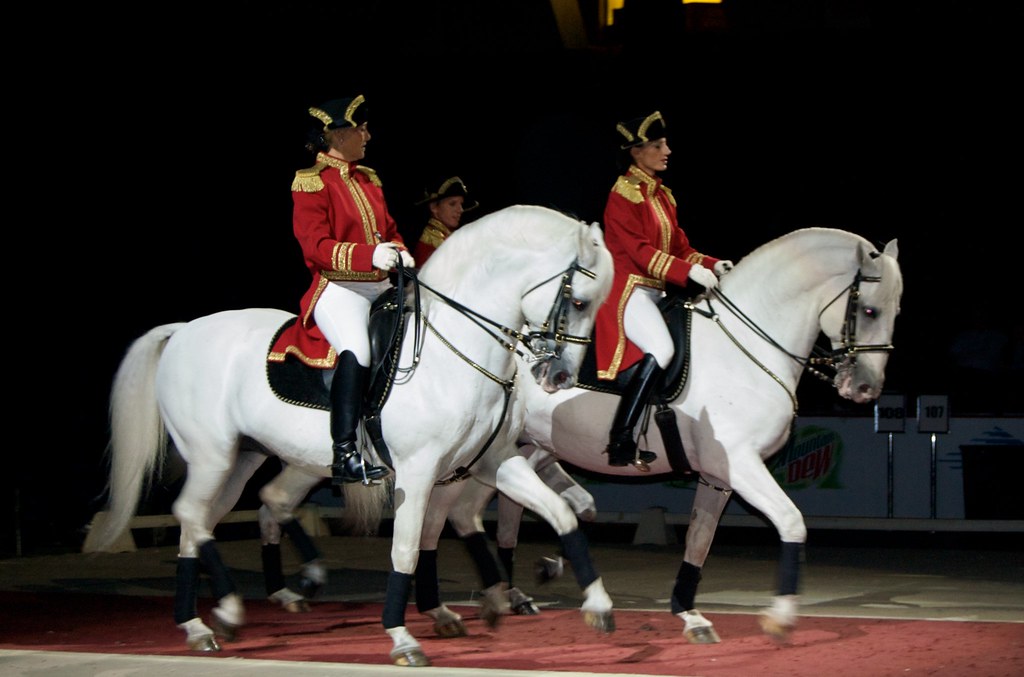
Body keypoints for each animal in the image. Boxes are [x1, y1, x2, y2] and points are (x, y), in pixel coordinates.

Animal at [86, 204, 614, 663]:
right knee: (192, 513)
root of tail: (183, 330)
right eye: (579, 302)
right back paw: (223, 611)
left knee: (204, 521)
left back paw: (209, 620)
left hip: (240, 458)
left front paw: (598, 604)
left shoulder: (493, 460)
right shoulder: (418, 472)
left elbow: (561, 513)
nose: (559, 378)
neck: (454, 349)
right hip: (211, 454)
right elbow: (407, 547)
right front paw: (401, 636)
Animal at [436, 225, 901, 639]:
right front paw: (781, 617)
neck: (746, 347)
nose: (866, 388)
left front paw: (688, 612)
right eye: (870, 310)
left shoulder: (718, 477)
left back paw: (510, 588)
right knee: (460, 511)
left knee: (486, 510)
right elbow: (791, 522)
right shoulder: (741, 465)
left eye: (896, 311)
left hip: (525, 447)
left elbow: (698, 540)